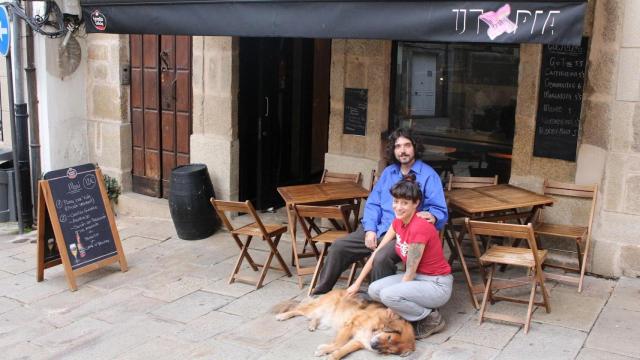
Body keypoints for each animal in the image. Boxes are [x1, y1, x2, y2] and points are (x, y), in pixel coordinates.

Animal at [274, 290, 416, 360]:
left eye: (388, 350)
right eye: (389, 337)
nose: (374, 346)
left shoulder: (358, 341)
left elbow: (343, 350)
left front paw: (332, 356)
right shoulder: (350, 325)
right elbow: (338, 343)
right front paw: (324, 350)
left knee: (316, 317)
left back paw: (312, 325)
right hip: (319, 308)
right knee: (298, 310)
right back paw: (283, 316)